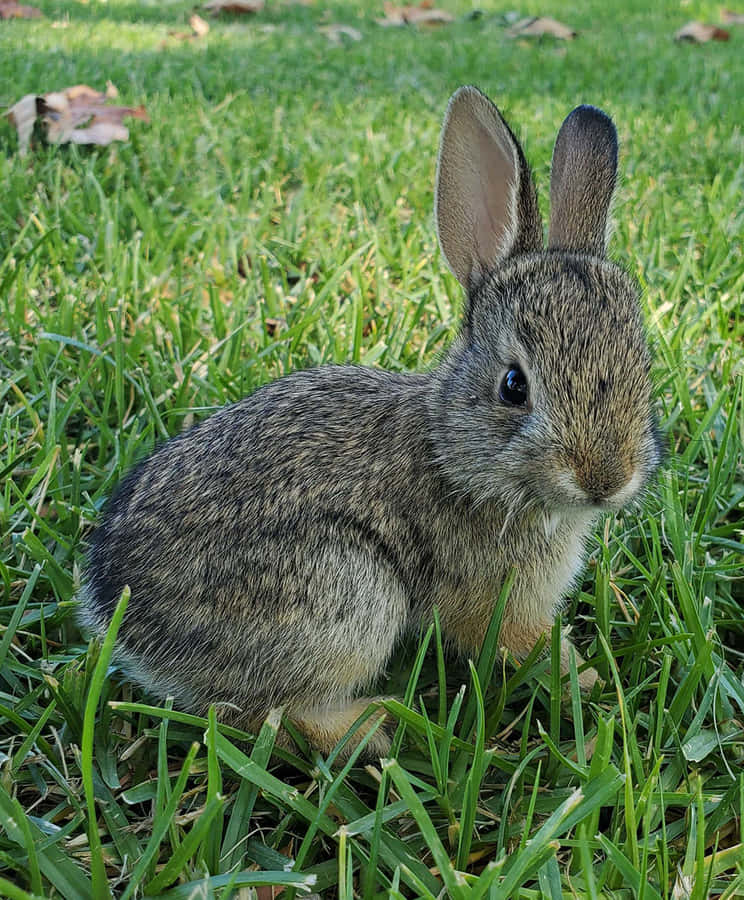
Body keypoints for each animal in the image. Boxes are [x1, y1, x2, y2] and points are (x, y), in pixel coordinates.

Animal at [80, 86, 664, 760]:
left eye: (643, 364)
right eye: (514, 386)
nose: (607, 478)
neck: (451, 450)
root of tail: (118, 611)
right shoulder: (492, 600)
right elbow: (521, 643)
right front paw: (588, 681)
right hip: (347, 594)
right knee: (263, 717)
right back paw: (375, 725)